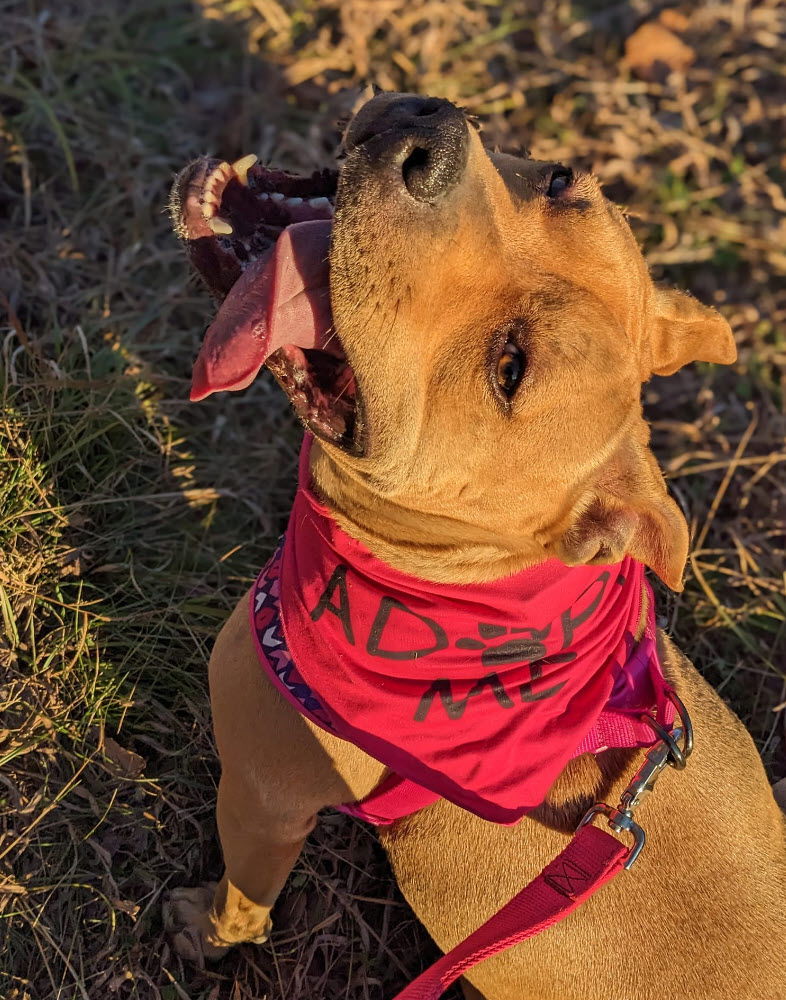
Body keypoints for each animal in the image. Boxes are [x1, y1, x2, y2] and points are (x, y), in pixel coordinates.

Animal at [167, 90, 784, 996]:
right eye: (562, 181)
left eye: (510, 369)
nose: (434, 149)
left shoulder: (261, 794)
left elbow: (243, 901)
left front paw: (204, 930)